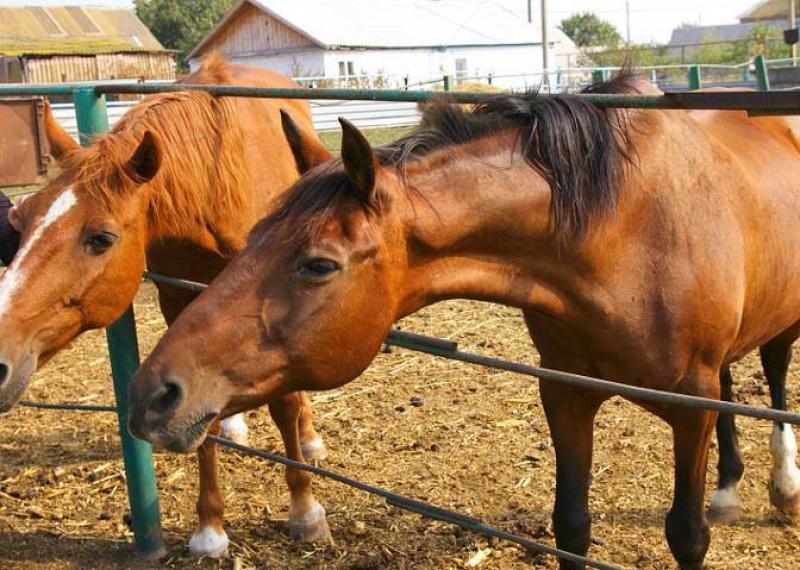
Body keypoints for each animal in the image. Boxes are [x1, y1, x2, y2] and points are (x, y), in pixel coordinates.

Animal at [0, 54, 332, 556]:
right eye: (20, 218)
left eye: (101, 238)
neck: (215, 189)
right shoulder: (179, 300)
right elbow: (199, 420)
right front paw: (210, 529)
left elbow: (287, 406)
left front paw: (305, 510)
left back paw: (309, 441)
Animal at [126, 76, 800, 568]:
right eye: (253, 237)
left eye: (318, 264)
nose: (151, 394)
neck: (625, 232)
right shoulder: (565, 392)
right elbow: (572, 526)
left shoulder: (689, 406)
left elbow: (686, 534)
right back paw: (729, 488)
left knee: (773, 373)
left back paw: (781, 484)